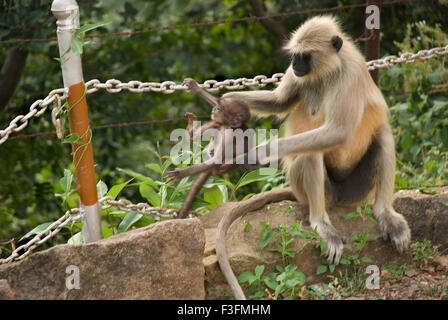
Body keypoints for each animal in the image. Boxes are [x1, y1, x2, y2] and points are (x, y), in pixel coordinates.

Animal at [167, 78, 254, 219]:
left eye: (221, 108)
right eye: (218, 105)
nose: (215, 108)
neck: (228, 125)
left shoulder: (229, 135)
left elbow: (218, 158)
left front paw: (182, 173)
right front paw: (196, 88)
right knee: (214, 125)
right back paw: (191, 133)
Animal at [216, 15, 410, 300]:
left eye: (304, 56)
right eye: (295, 57)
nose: (295, 65)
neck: (329, 70)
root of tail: (341, 198)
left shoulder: (351, 72)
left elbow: (338, 132)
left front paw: (260, 151)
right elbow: (279, 102)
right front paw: (225, 103)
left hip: (358, 190)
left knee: (381, 133)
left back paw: (384, 213)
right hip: (317, 190)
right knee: (313, 153)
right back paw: (322, 224)